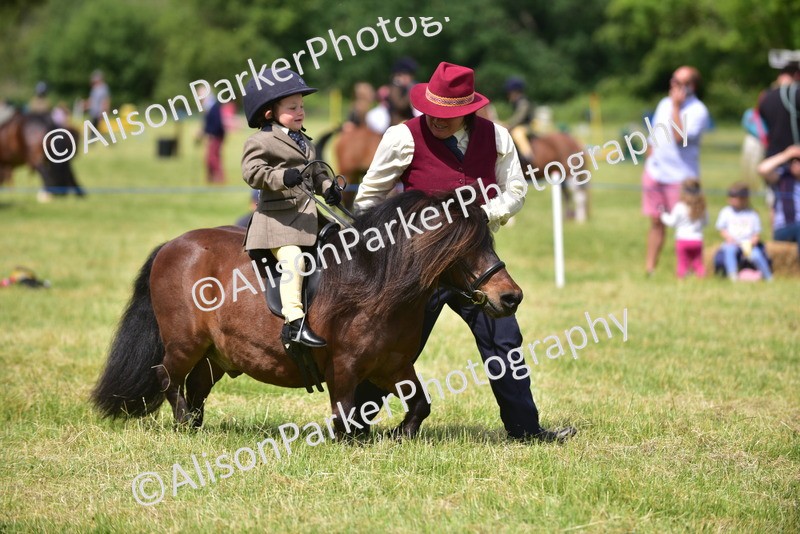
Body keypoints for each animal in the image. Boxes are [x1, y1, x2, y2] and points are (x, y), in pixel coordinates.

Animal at [91, 190, 523, 439]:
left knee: (195, 387)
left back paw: (197, 428)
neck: (375, 280)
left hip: (214, 356)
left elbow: (420, 406)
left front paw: (401, 434)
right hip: (185, 345)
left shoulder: (393, 365)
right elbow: (346, 420)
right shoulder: (344, 367)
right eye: (463, 248)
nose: (511, 297)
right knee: (167, 376)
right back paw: (183, 424)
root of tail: (172, 246)